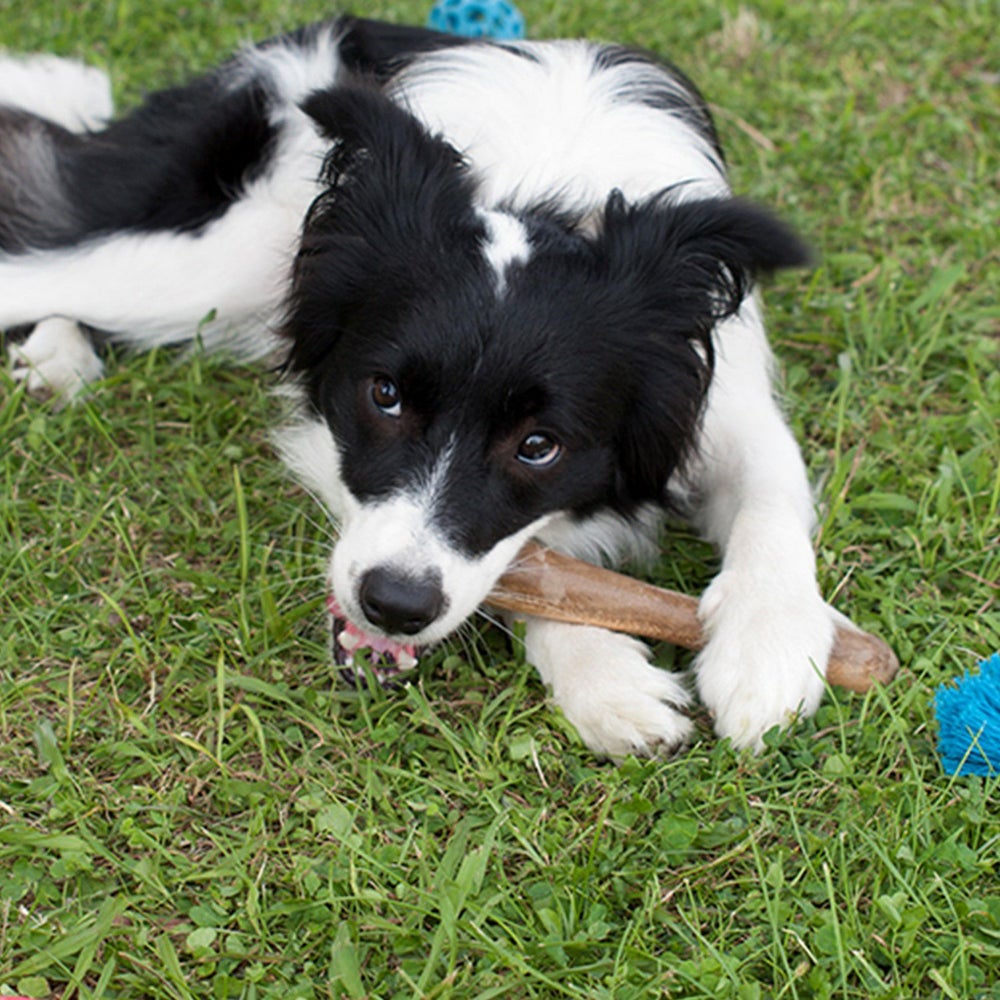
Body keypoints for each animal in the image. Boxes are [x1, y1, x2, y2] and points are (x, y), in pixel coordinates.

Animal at [0, 16, 843, 757]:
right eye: (386, 397)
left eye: (539, 445)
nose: (394, 607)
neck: (542, 191)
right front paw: (605, 677)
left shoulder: (723, 398)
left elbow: (769, 493)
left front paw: (767, 651)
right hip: (205, 259)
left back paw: (59, 358)